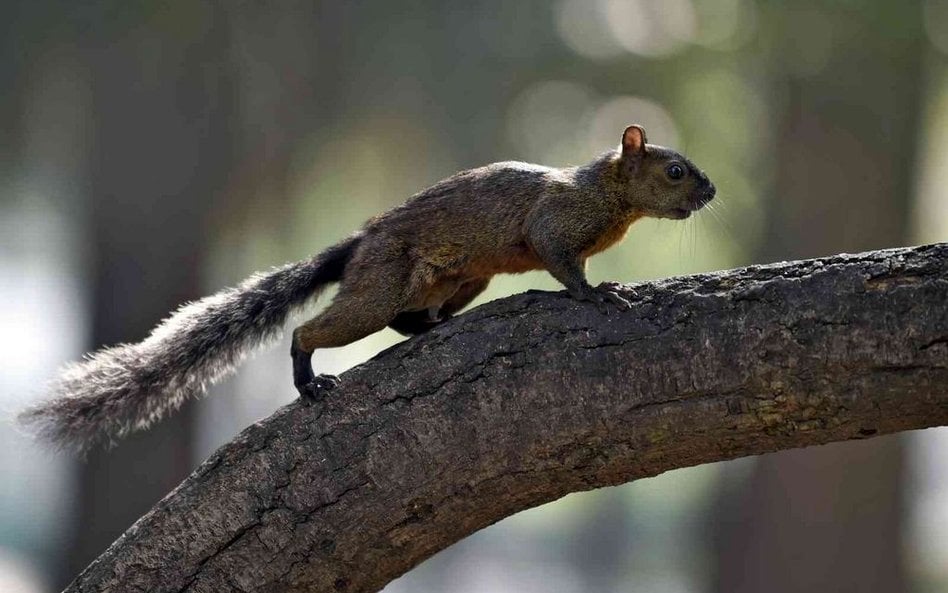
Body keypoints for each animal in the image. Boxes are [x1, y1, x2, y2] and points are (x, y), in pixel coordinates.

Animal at [16, 122, 712, 450]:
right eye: (676, 171)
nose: (711, 192)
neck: (608, 194)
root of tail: (358, 245)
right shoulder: (553, 224)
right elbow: (562, 263)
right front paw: (599, 295)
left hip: (465, 278)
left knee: (409, 319)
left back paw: (434, 327)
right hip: (379, 289)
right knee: (313, 329)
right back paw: (307, 380)